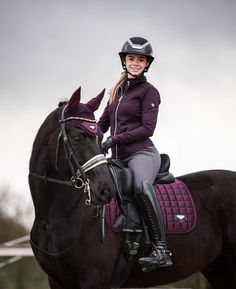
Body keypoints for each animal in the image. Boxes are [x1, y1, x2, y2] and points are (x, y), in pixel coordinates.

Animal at [29, 86, 236, 288]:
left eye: (100, 137)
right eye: (78, 137)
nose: (106, 190)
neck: (53, 217)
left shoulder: (93, 279)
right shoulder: (56, 281)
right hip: (219, 270)